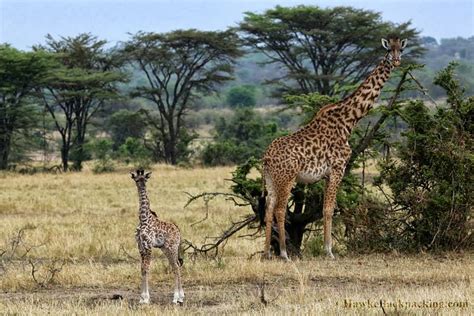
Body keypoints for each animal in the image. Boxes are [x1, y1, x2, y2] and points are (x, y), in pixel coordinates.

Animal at [131, 169, 184, 304]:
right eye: (137, 179)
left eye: (145, 179)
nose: (142, 187)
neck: (143, 219)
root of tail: (178, 231)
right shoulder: (140, 247)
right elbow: (142, 269)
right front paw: (142, 298)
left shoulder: (148, 246)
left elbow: (147, 268)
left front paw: (146, 298)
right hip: (165, 248)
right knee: (176, 265)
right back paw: (181, 297)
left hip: (172, 247)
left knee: (176, 267)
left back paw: (176, 298)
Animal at [262, 37, 408, 260]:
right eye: (388, 50)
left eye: (401, 49)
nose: (397, 60)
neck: (350, 119)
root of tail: (267, 157)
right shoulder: (338, 168)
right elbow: (329, 209)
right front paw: (329, 251)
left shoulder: (326, 174)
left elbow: (325, 209)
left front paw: (327, 248)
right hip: (287, 178)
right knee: (279, 209)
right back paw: (285, 254)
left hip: (271, 180)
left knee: (268, 209)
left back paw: (266, 254)